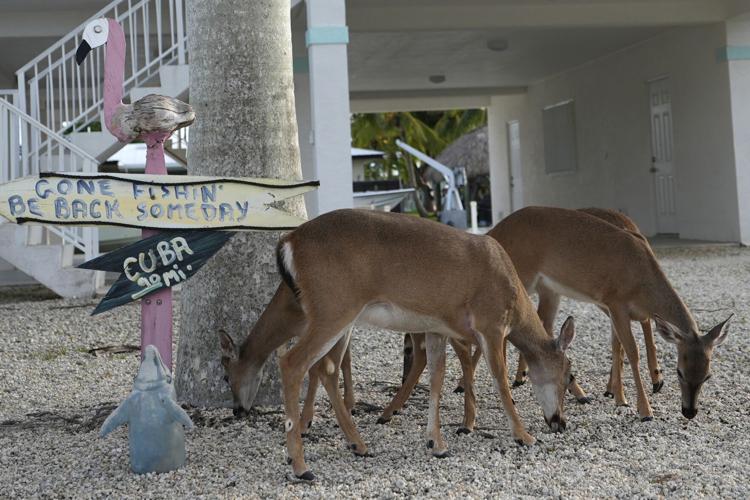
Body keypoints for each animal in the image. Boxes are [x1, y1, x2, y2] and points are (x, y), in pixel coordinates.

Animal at [220, 208, 577, 481]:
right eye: (567, 374)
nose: (559, 422)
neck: (513, 297)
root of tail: (288, 241)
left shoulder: (436, 328)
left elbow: (436, 379)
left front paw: (437, 443)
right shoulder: (490, 323)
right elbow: (499, 379)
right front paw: (524, 436)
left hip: (337, 316)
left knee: (325, 366)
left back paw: (357, 445)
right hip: (333, 308)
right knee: (293, 361)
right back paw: (301, 466)